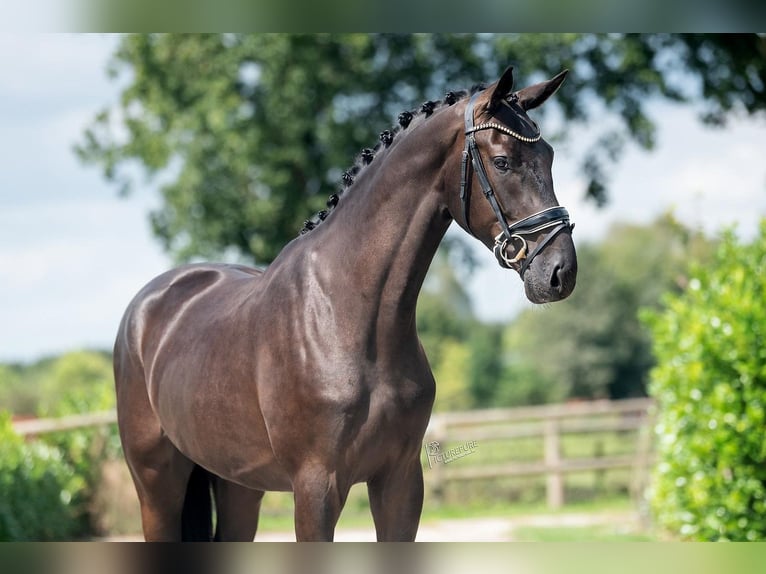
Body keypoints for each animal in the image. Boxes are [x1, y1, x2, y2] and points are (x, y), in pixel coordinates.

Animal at [115, 65, 576, 544]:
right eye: (503, 161)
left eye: (549, 156)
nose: (560, 271)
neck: (348, 317)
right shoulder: (315, 488)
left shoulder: (400, 481)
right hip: (156, 483)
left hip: (239, 486)